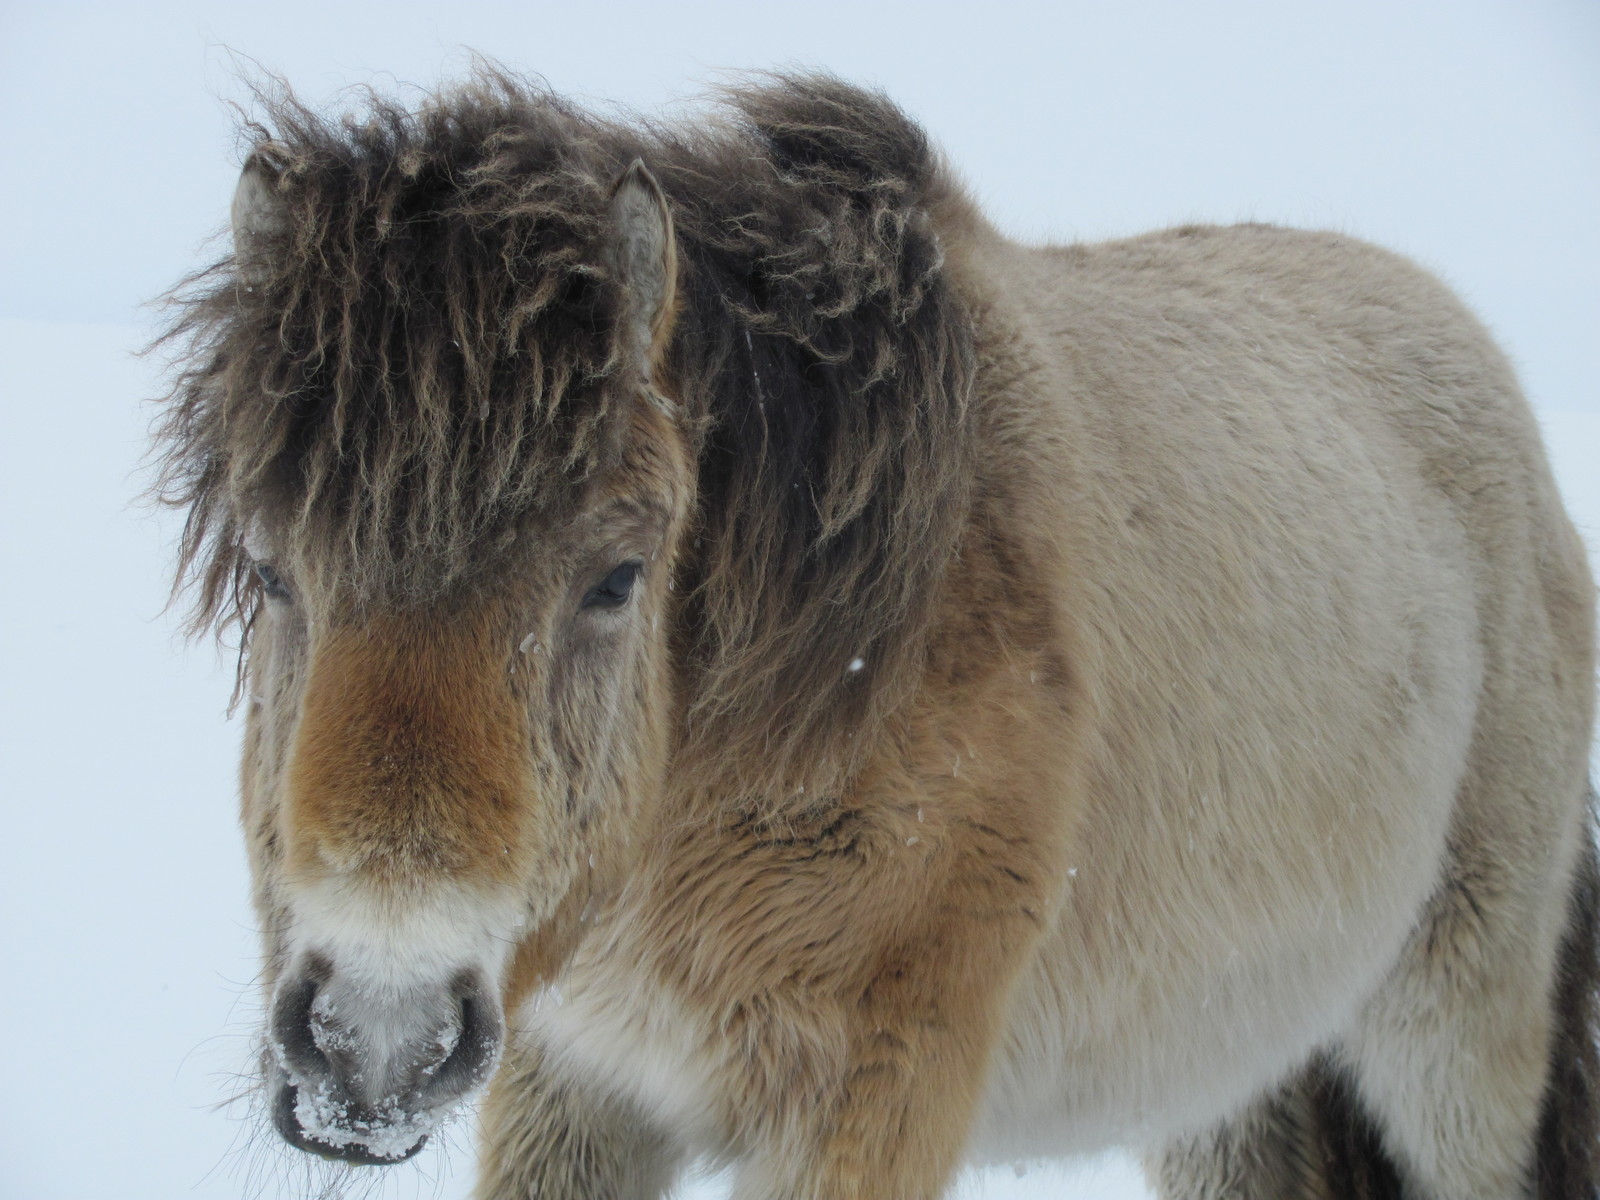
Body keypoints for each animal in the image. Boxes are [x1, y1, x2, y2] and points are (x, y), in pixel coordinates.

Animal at [152, 75, 1600, 1200]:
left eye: (616, 580)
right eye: (273, 571)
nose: (374, 1041)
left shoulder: (873, 1093)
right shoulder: (575, 1075)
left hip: (1450, 1033)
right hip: (1229, 1075)